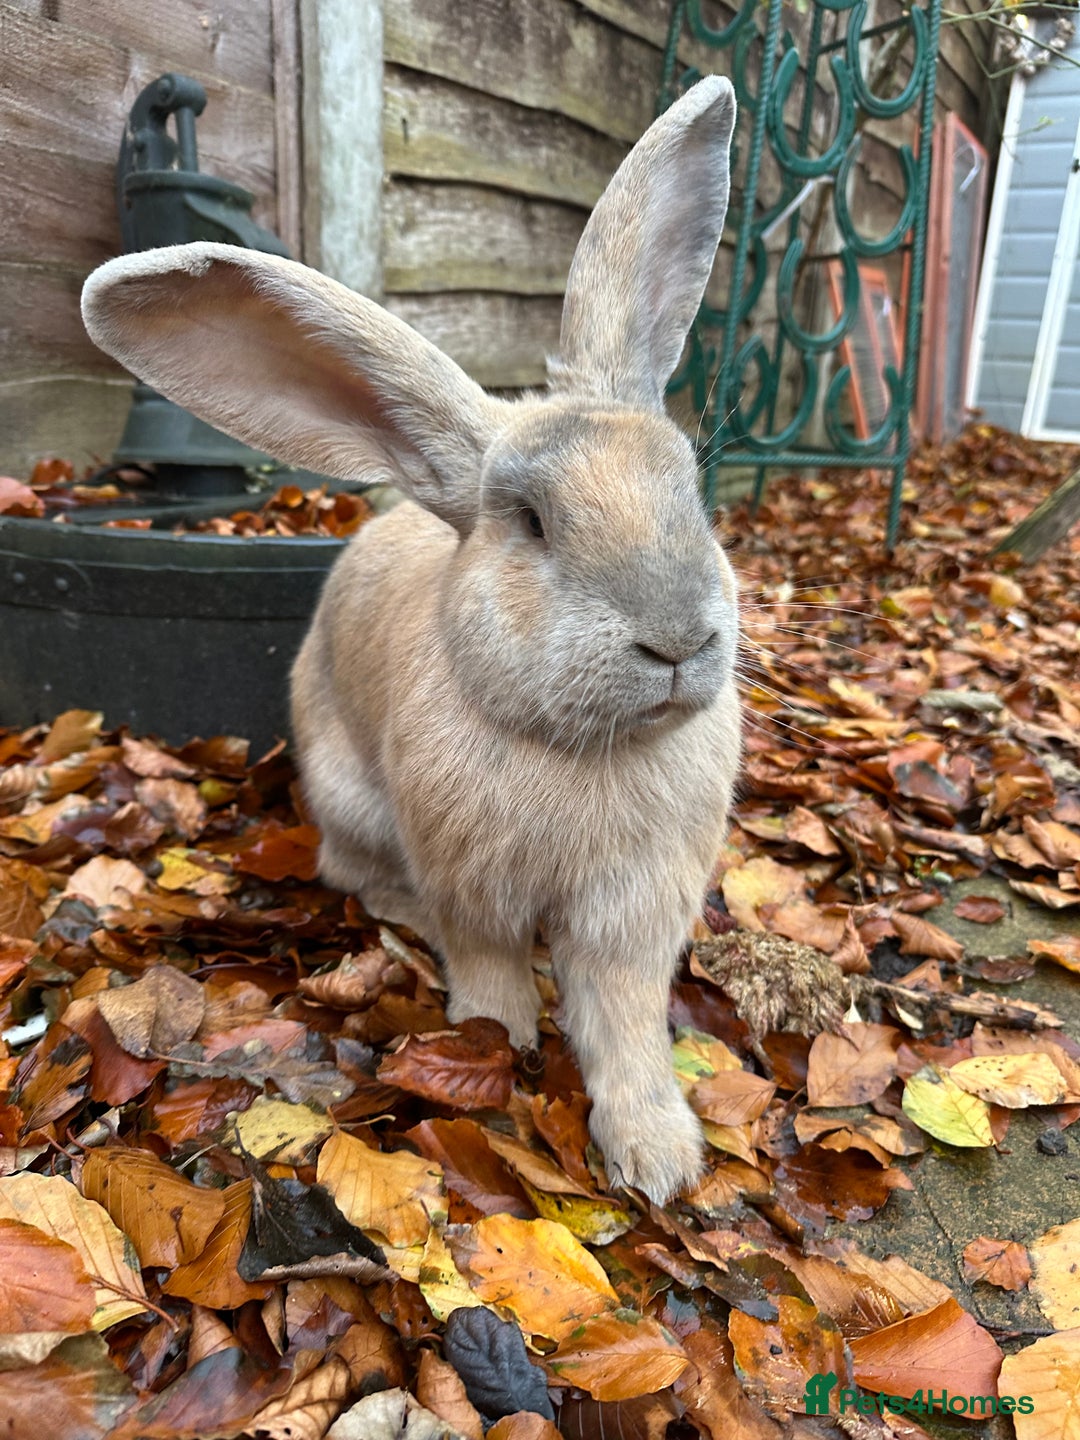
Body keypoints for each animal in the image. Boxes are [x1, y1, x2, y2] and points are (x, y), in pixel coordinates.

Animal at [81, 75, 741, 1203]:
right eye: (530, 522)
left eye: (689, 490)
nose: (677, 639)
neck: (581, 749)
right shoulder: (473, 886)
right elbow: (491, 976)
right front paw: (501, 1045)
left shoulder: (635, 913)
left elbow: (623, 1022)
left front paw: (656, 1160)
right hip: (351, 797)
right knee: (357, 875)